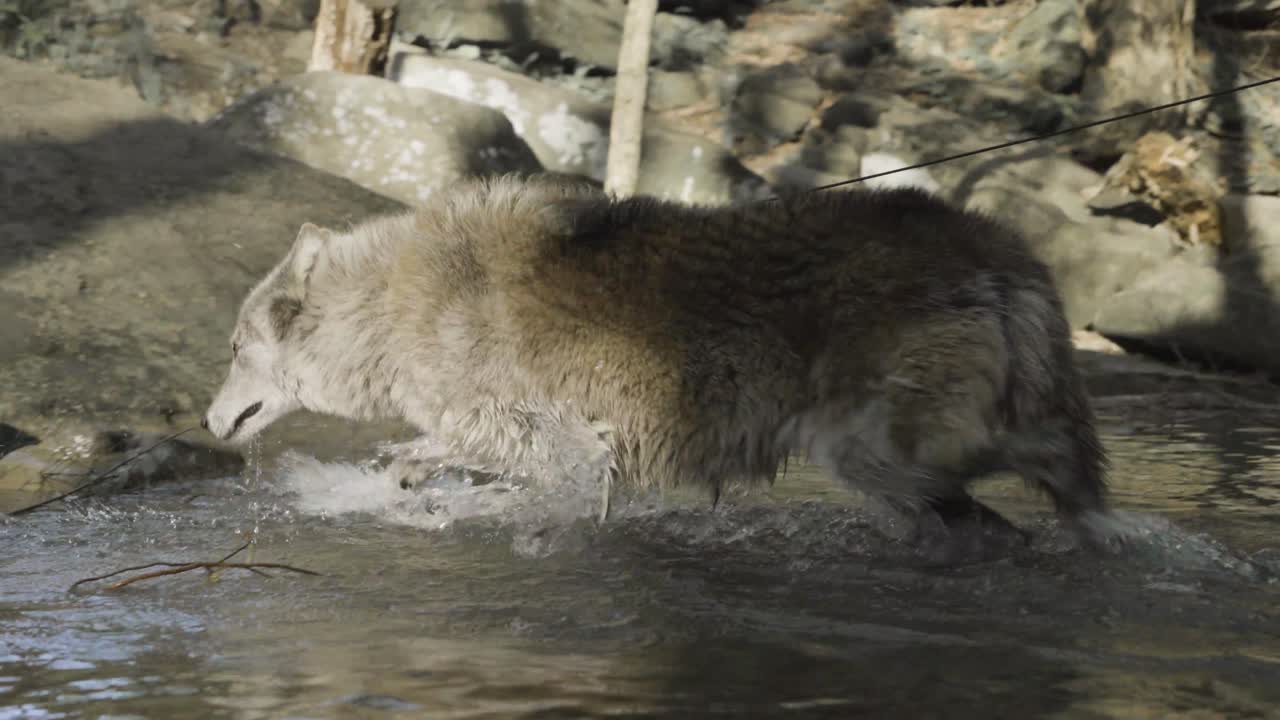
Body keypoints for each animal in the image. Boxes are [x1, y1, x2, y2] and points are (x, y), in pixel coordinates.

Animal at [203, 173, 1113, 546]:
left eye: (235, 350)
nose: (208, 421)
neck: (391, 310)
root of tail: (1004, 257)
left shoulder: (559, 443)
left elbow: (482, 476)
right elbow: (427, 465)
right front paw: (413, 489)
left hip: (868, 458)